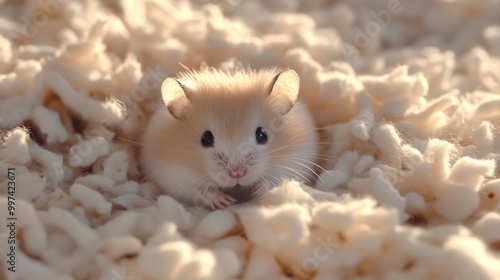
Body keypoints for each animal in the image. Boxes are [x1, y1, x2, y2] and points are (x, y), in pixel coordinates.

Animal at [143, 66, 318, 209]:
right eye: (206, 139)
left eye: (262, 135)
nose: (236, 173)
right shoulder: (175, 176)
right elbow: (202, 191)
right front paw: (226, 201)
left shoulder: (296, 162)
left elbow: (275, 179)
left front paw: (257, 191)